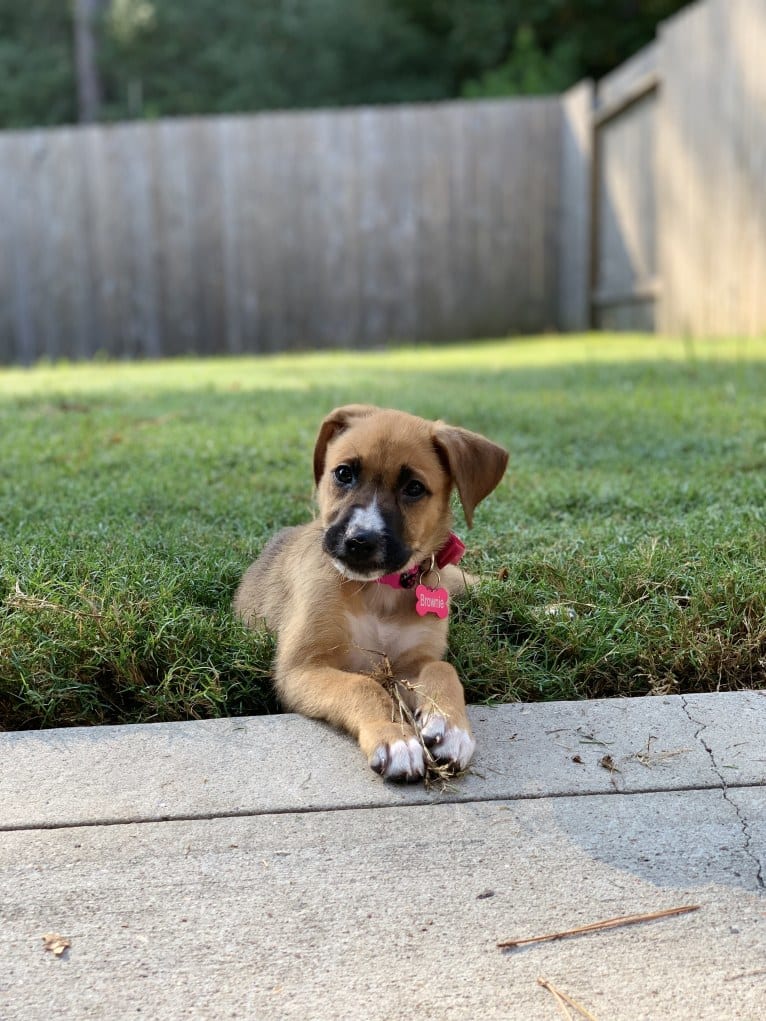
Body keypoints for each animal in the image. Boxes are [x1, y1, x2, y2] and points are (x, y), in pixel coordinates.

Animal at [233, 404, 510, 780]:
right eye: (343, 473)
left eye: (414, 488)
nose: (359, 542)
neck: (379, 591)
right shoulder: (301, 668)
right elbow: (362, 685)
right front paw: (395, 736)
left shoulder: (414, 662)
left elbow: (443, 669)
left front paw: (450, 726)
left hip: (456, 582)